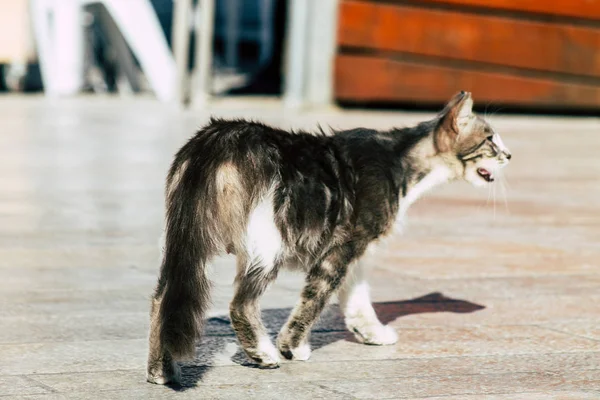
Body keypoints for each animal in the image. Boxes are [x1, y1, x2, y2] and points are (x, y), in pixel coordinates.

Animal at [145, 91, 510, 384]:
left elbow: (358, 298)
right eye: (491, 140)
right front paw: (292, 347)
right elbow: (314, 299)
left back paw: (161, 371)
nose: (509, 156)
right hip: (268, 241)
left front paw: (371, 333)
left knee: (163, 299)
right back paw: (263, 354)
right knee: (240, 303)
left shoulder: (357, 252)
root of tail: (217, 137)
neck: (402, 161)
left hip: (182, 239)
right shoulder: (342, 246)